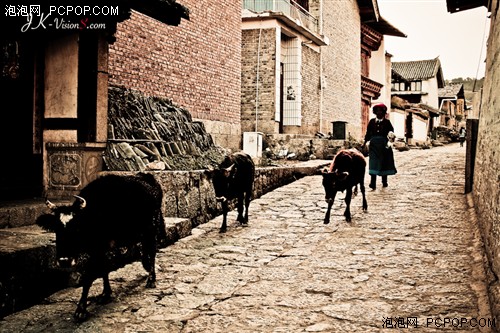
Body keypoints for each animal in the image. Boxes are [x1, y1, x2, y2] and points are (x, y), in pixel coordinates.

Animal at [36, 171, 168, 320]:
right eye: (57, 229)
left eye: (77, 228)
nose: (65, 261)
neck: (94, 215)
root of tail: (148, 177)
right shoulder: (100, 248)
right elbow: (104, 268)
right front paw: (106, 293)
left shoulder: (99, 247)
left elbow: (89, 275)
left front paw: (81, 309)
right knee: (144, 251)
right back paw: (146, 267)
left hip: (152, 228)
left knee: (152, 251)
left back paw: (151, 279)